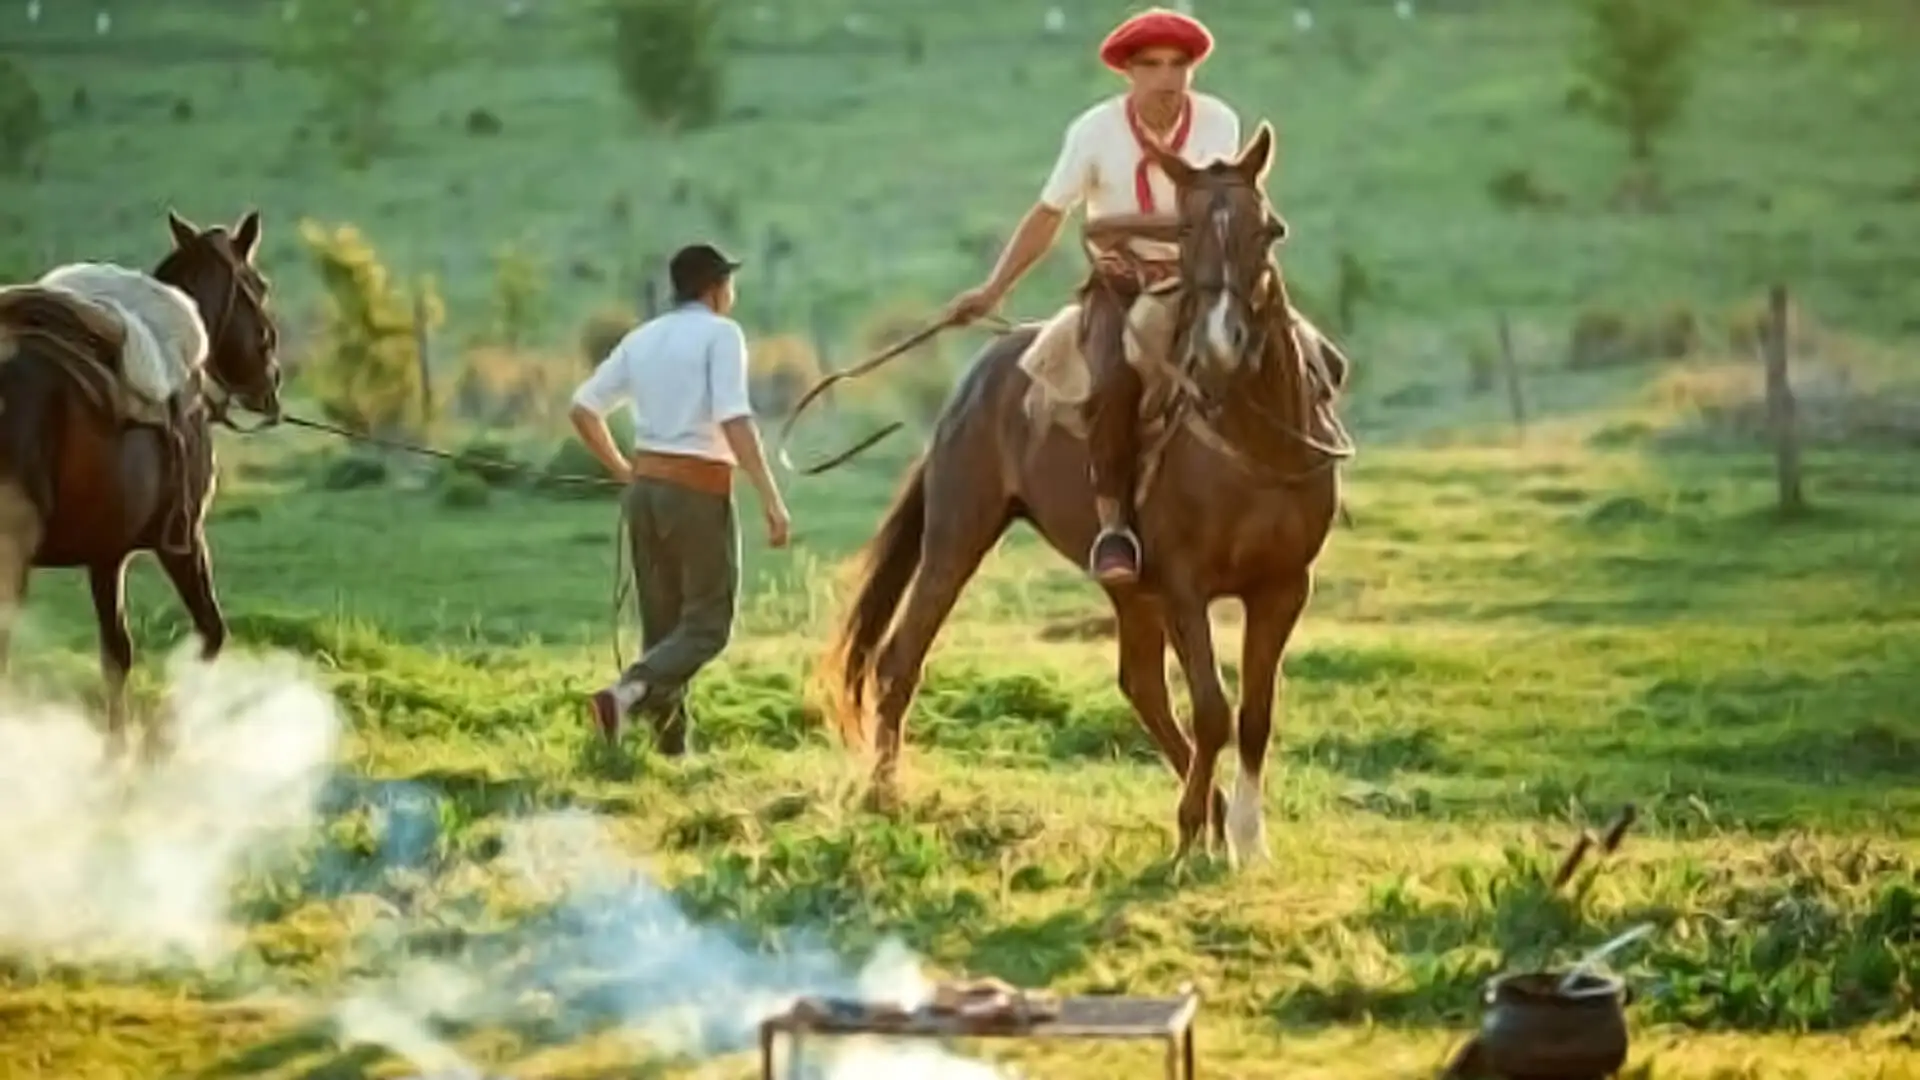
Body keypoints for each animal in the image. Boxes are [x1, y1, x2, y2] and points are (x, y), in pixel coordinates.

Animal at [0, 208, 284, 757]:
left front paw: (117, 750)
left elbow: (116, 653)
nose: (270, 383)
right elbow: (210, 635)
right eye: (259, 287)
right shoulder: (184, 543)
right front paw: (165, 741)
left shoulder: (105, 556)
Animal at [821, 123, 1351, 864]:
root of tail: (979, 375)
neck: (1252, 446)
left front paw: (1244, 838)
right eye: (1184, 230)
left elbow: (1253, 713)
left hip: (1129, 585)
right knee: (901, 658)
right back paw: (883, 795)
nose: (1222, 343)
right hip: (959, 536)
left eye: (1268, 229)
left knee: (1143, 685)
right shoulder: (1185, 585)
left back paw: (1214, 812)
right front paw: (1193, 834)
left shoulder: (1282, 586)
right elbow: (1214, 708)